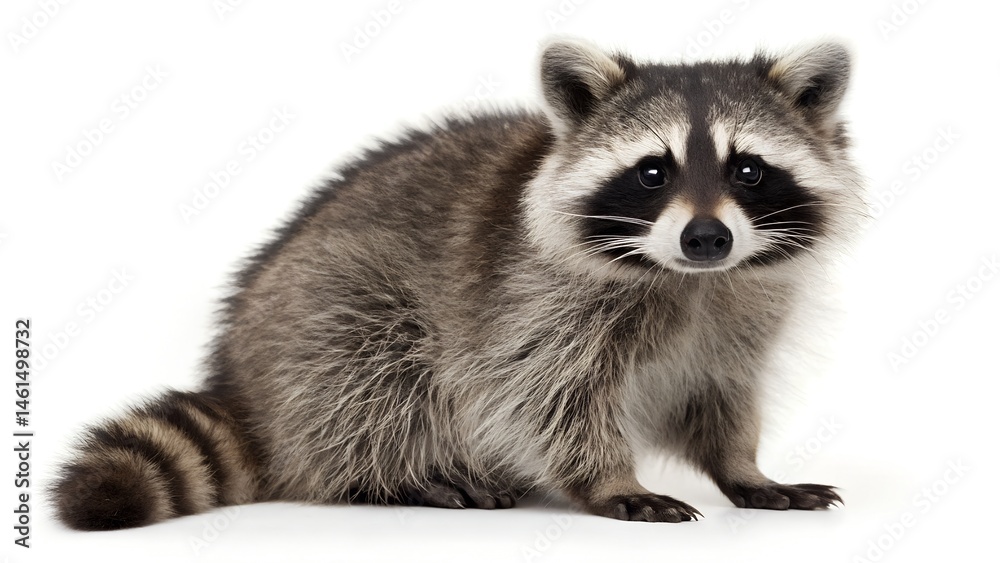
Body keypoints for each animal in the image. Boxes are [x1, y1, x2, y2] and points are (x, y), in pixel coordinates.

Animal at [52, 38, 862, 529]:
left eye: (748, 169)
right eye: (652, 172)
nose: (706, 238)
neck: (686, 280)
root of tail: (246, 386)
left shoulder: (740, 310)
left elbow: (721, 394)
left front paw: (742, 465)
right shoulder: (530, 301)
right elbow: (546, 398)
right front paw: (608, 478)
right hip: (326, 309)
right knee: (371, 373)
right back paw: (396, 473)